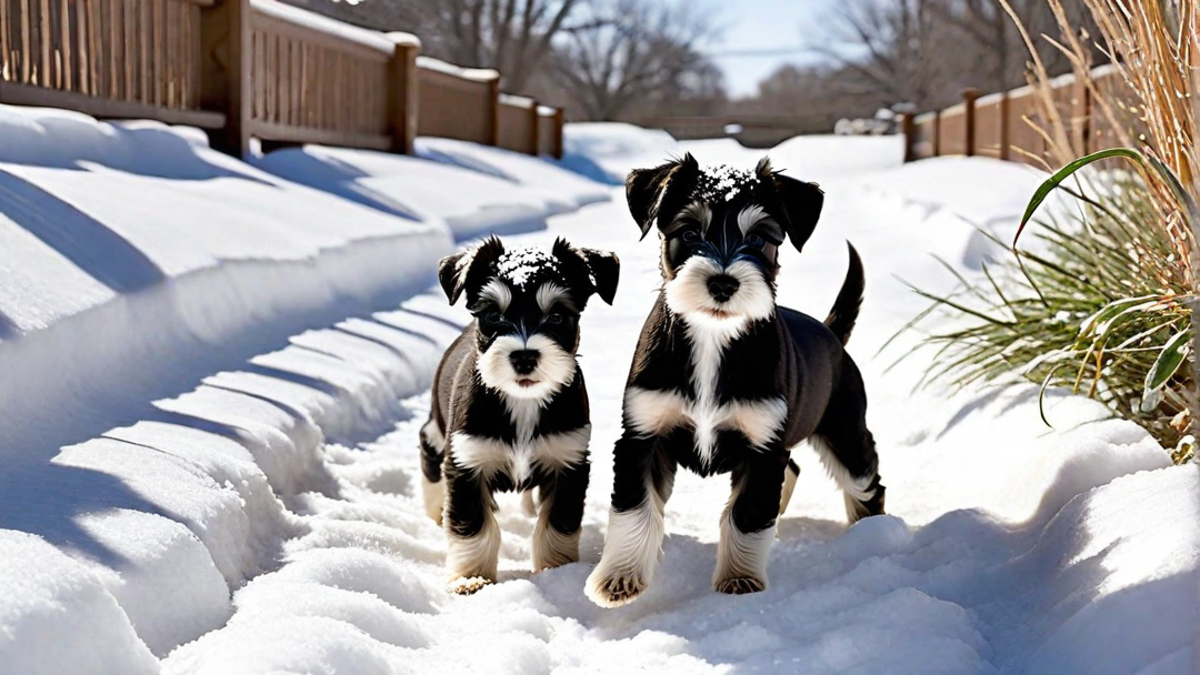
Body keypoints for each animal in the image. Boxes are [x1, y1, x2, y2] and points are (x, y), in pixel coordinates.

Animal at [420, 234, 619, 590]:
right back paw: (436, 507)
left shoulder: (568, 462)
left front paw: (556, 571)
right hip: (439, 428)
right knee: (428, 448)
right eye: (492, 316)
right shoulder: (466, 462)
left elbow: (558, 523)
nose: (524, 357)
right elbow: (472, 526)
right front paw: (471, 578)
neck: (523, 400)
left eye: (557, 315)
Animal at [585, 154, 888, 607]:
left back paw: (872, 535)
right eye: (689, 231)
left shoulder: (762, 447)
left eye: (761, 238)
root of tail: (830, 332)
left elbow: (747, 514)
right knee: (794, 467)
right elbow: (634, 508)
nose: (723, 283)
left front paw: (740, 581)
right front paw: (619, 578)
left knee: (865, 481)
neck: (713, 336)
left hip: (844, 428)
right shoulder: (643, 435)